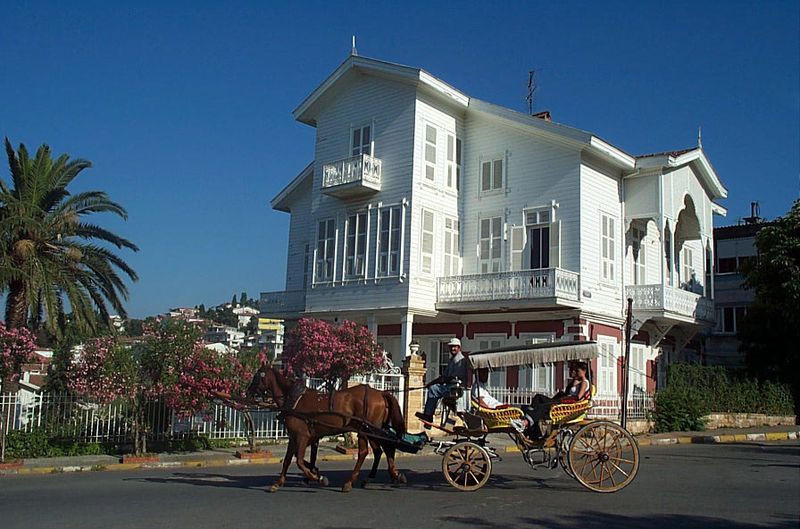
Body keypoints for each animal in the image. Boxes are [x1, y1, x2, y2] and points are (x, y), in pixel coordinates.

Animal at [248, 364, 410, 490]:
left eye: (256, 376)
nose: (247, 391)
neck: (294, 399)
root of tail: (381, 393)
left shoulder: (303, 435)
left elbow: (299, 461)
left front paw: (317, 477)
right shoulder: (296, 436)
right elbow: (289, 459)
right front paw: (279, 482)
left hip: (367, 429)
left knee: (370, 451)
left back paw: (354, 481)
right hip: (371, 430)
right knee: (379, 450)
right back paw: (379, 477)